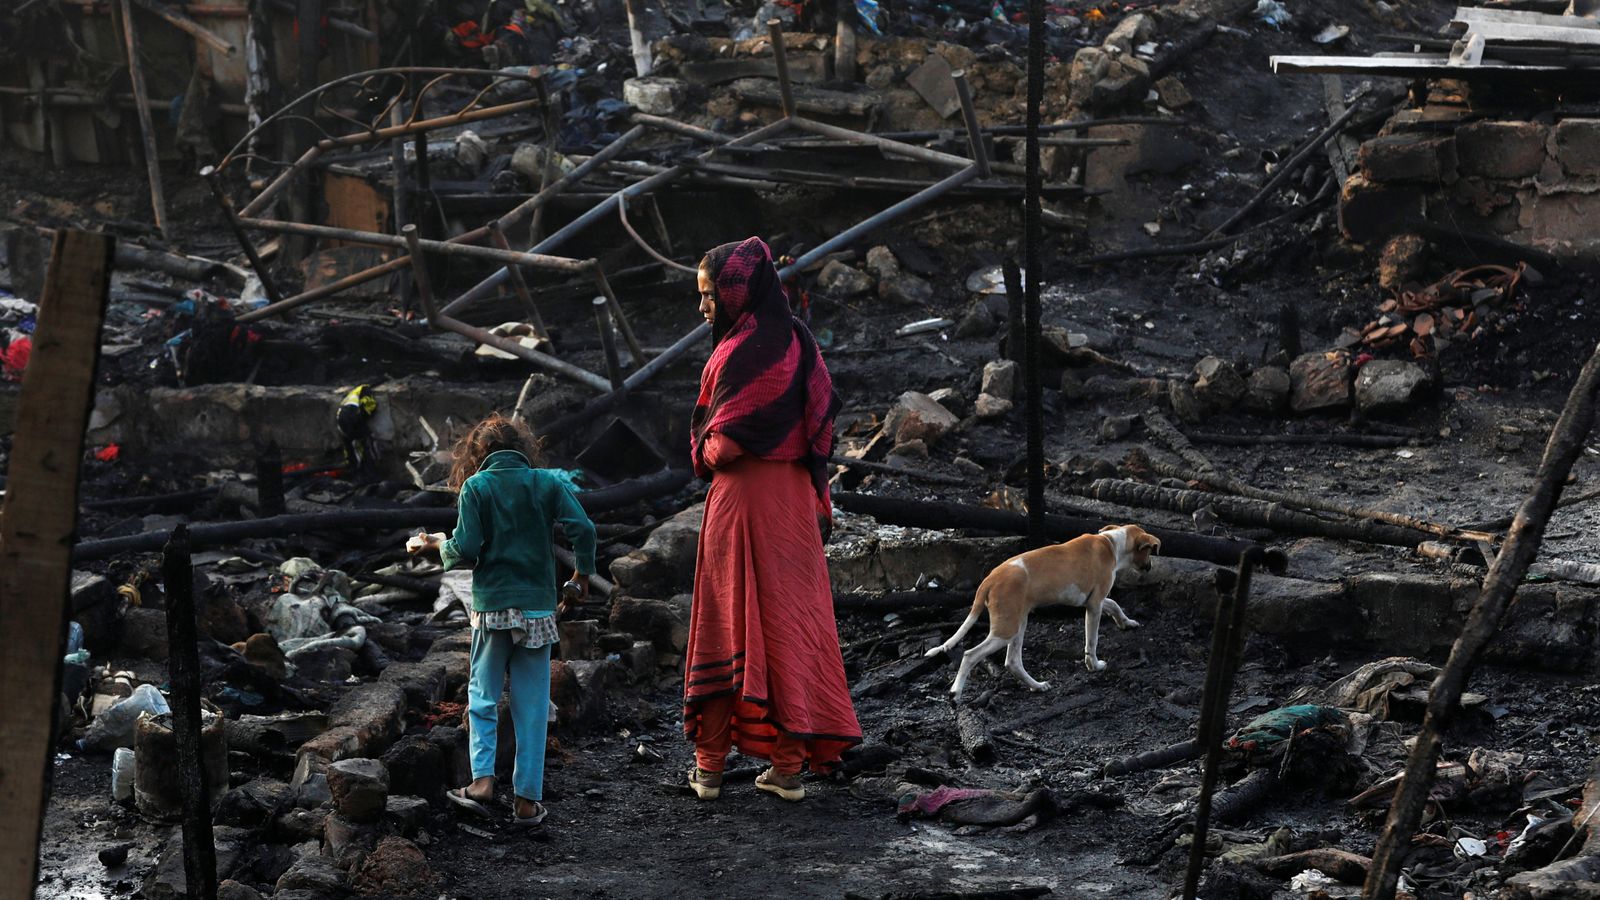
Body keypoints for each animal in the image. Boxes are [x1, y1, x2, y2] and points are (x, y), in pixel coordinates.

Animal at [928, 518, 1164, 701]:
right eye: (1150, 552)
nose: (1150, 567)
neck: (1111, 543)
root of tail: (989, 580)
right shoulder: (1094, 604)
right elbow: (1092, 640)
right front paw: (1094, 665)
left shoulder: (1091, 600)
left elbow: (1114, 604)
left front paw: (1127, 622)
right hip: (1005, 630)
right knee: (970, 655)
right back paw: (955, 693)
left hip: (1018, 623)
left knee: (1012, 662)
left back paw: (1037, 686)